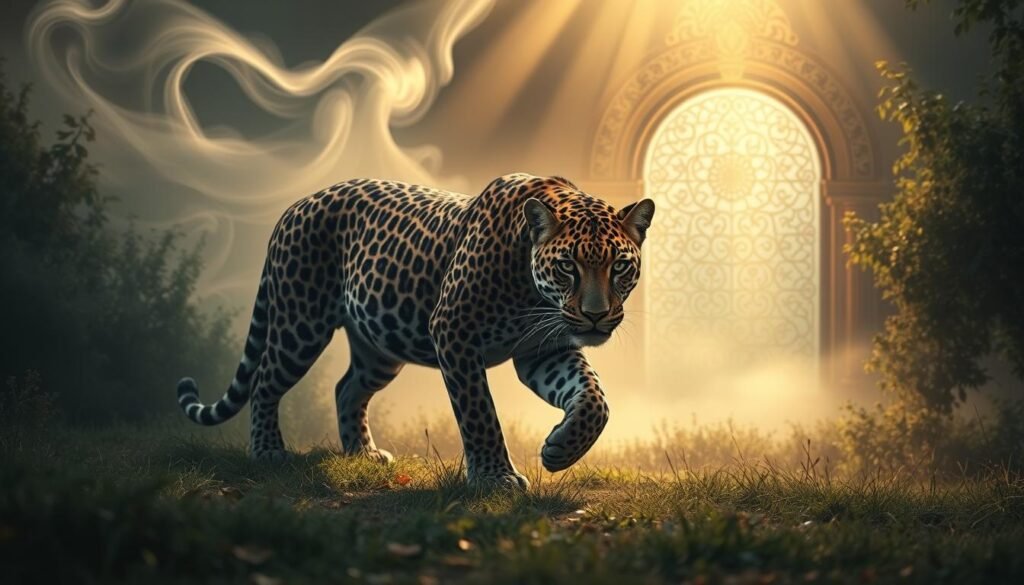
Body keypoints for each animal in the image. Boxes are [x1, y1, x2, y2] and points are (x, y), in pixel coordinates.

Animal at [177, 172, 655, 489]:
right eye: (567, 266)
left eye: (620, 266)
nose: (596, 316)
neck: (532, 289)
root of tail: (298, 203)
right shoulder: (454, 333)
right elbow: (480, 413)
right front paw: (495, 478)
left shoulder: (543, 349)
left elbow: (594, 398)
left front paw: (560, 448)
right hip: (300, 324)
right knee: (264, 381)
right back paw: (268, 452)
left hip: (379, 347)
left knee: (346, 388)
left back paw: (363, 454)